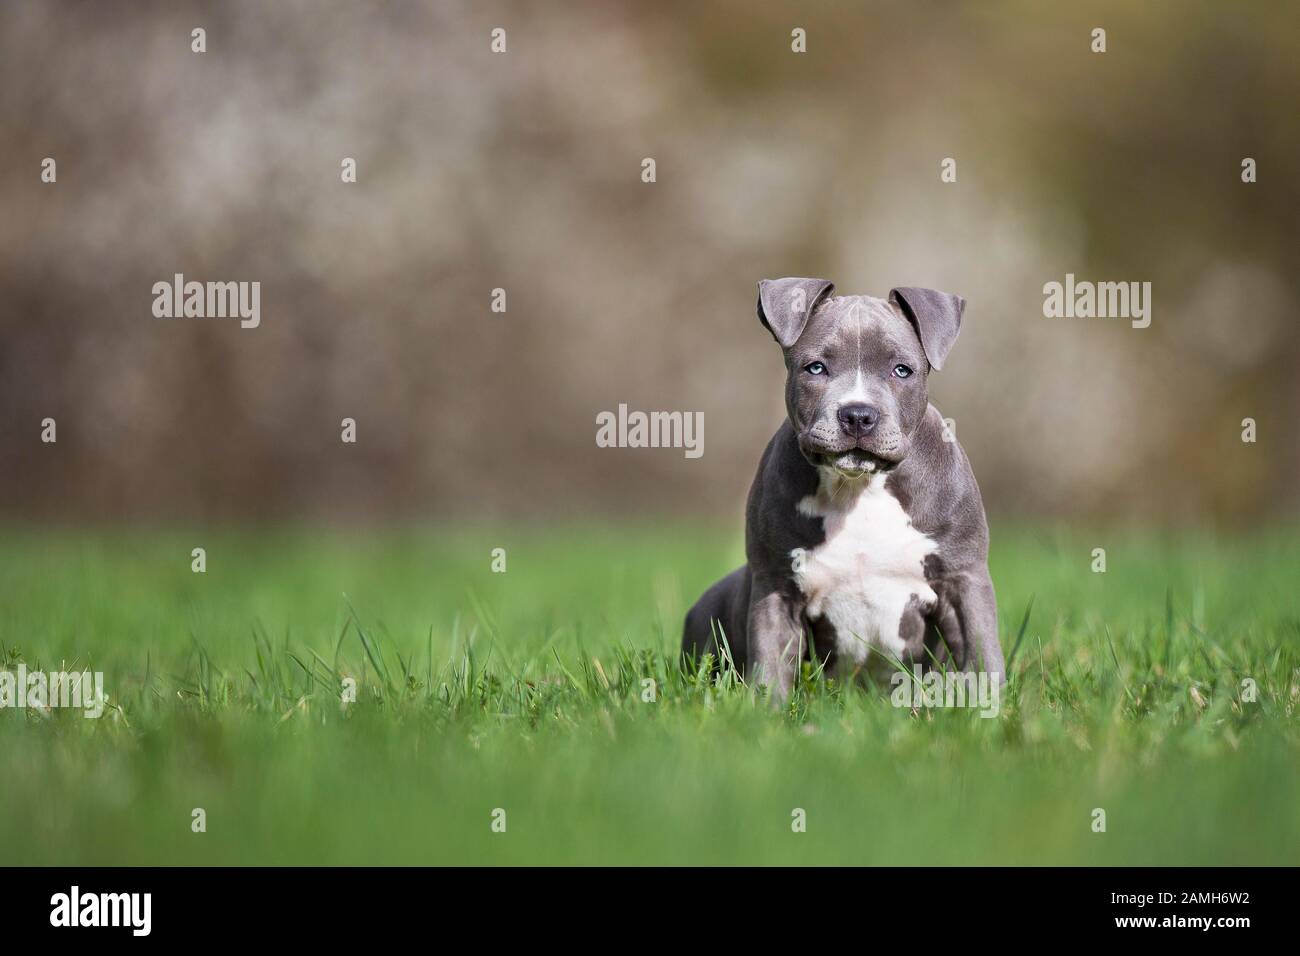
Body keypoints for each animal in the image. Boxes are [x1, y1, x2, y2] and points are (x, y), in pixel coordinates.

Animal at [681, 277, 1003, 702]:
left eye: (902, 370)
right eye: (816, 368)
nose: (858, 415)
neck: (859, 488)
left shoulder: (964, 578)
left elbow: (982, 653)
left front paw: (990, 707)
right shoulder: (776, 588)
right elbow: (771, 664)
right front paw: (766, 711)